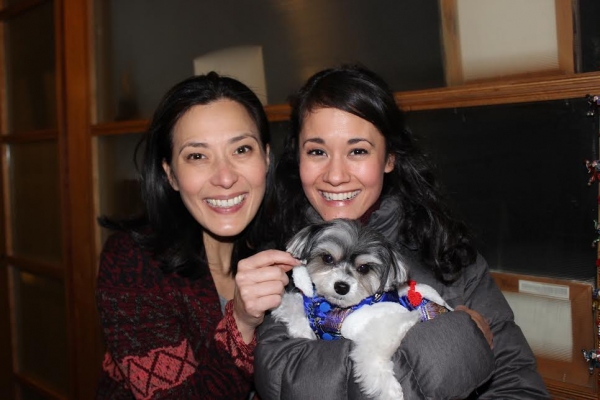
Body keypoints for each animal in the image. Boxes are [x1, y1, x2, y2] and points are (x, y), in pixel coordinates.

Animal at [272, 219, 450, 400]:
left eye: (364, 268)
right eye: (327, 258)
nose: (341, 287)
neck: (333, 308)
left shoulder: (389, 324)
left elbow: (374, 354)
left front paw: (388, 389)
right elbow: (291, 304)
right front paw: (301, 329)